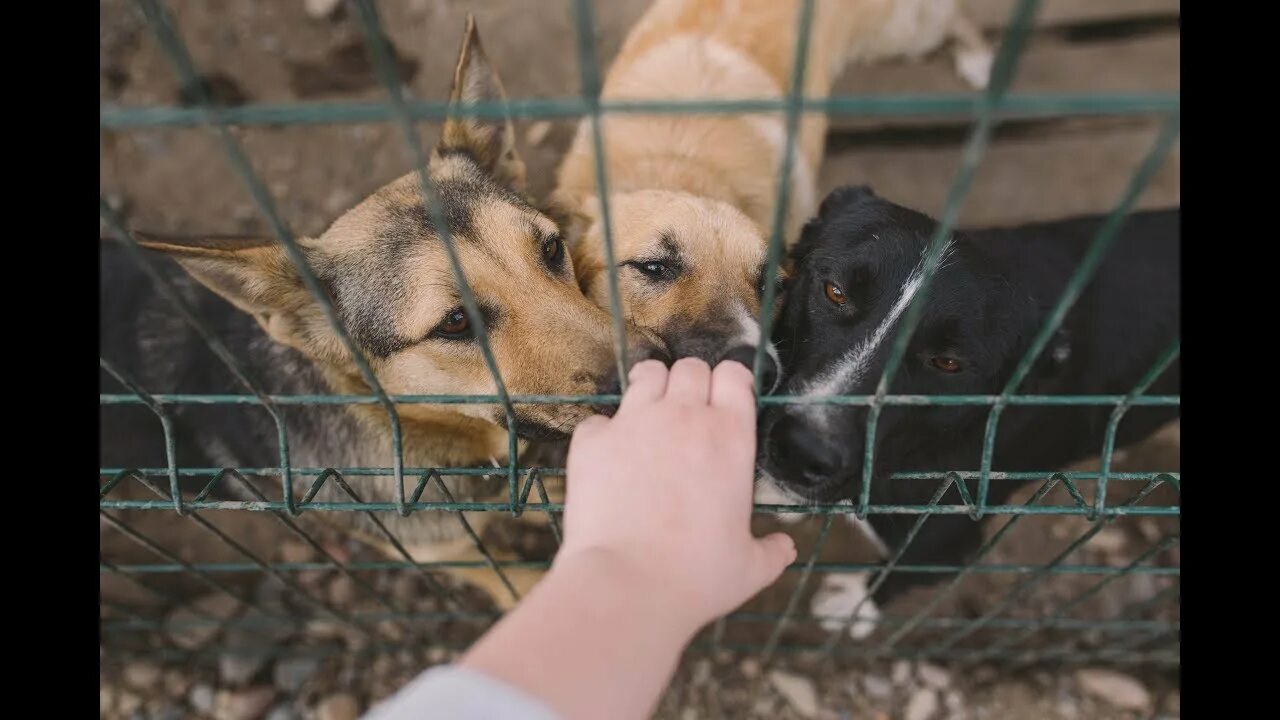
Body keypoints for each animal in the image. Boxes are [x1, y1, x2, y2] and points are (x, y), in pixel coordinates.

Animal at [550, 0, 988, 386]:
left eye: (771, 286)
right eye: (654, 267)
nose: (755, 369)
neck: (682, 167)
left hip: (904, 31)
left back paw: (980, 60)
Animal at [757, 188, 1177, 635]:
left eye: (948, 363)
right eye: (834, 291)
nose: (800, 450)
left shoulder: (945, 538)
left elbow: (896, 573)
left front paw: (852, 604)